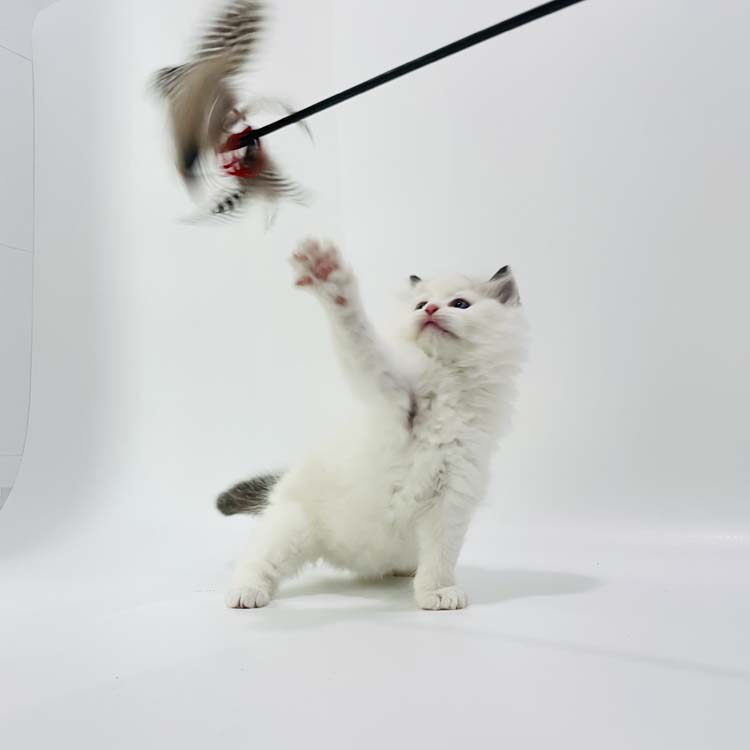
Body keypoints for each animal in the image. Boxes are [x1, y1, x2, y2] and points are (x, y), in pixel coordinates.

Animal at [218, 238, 528, 610]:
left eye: (460, 304)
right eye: (420, 304)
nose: (429, 310)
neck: (449, 386)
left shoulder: (452, 495)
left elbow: (440, 556)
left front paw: (436, 592)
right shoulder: (390, 389)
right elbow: (359, 339)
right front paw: (330, 278)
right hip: (291, 527)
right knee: (257, 560)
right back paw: (245, 592)